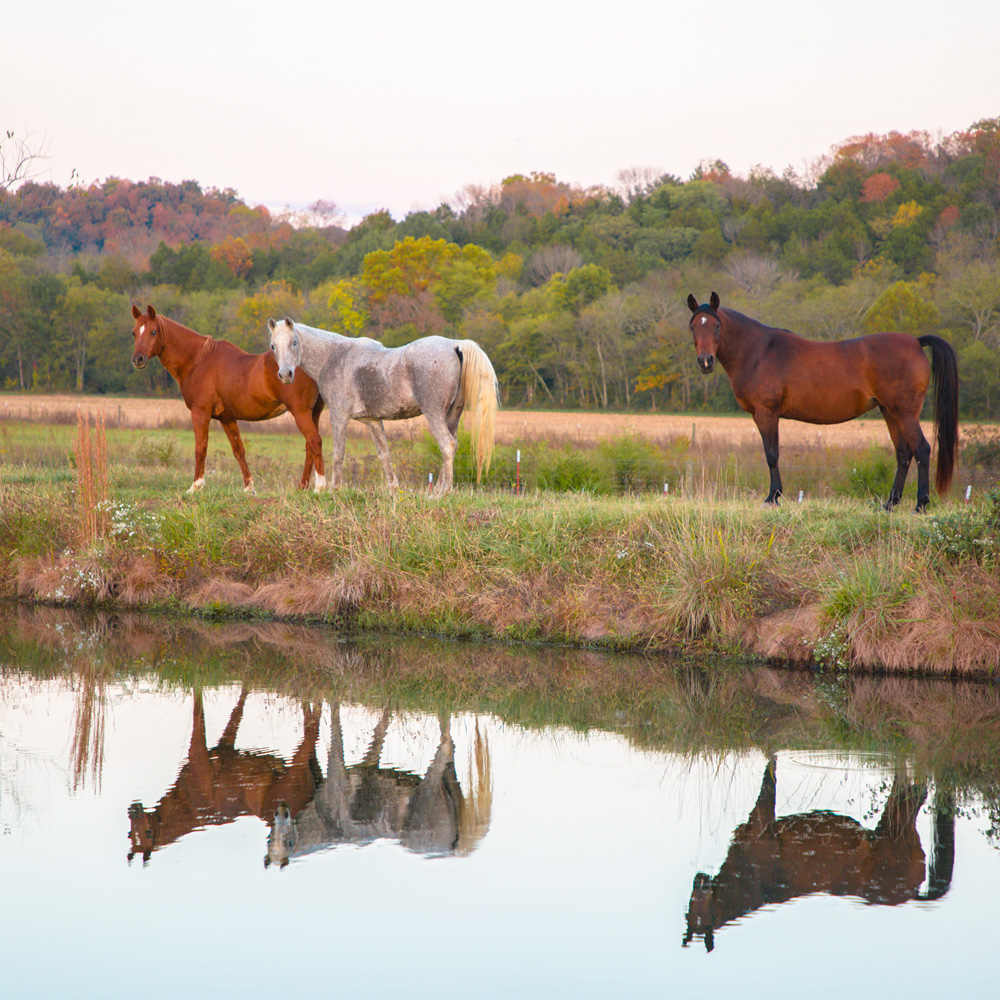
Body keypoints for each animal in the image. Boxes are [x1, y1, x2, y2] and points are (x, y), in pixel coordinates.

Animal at [131, 302, 326, 494]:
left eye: (153, 331)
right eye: (134, 332)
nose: (137, 359)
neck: (198, 360)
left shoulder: (200, 413)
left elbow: (200, 448)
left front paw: (196, 486)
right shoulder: (227, 418)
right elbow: (238, 450)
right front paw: (248, 487)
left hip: (300, 412)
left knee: (314, 442)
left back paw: (320, 487)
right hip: (313, 413)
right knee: (309, 446)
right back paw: (302, 486)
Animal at [270, 318, 500, 494]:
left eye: (294, 342)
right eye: (273, 346)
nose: (285, 375)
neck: (335, 357)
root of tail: (455, 345)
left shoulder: (339, 415)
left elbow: (338, 453)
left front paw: (333, 490)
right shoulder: (372, 421)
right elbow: (384, 454)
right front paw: (393, 489)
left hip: (433, 413)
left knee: (447, 445)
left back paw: (442, 493)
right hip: (452, 416)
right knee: (452, 445)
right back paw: (436, 490)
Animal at [684, 290, 956, 508]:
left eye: (716, 326)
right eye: (693, 327)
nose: (705, 361)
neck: (758, 353)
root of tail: (916, 342)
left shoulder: (766, 413)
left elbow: (771, 454)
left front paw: (773, 497)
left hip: (905, 413)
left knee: (922, 449)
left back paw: (920, 504)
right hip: (890, 412)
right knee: (903, 454)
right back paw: (890, 503)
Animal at [684, 756, 956, 952]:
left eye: (700, 909)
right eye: (689, 909)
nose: (699, 879)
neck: (750, 878)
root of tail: (910, 893)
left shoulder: (763, 819)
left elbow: (769, 777)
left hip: (896, 826)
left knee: (914, 792)